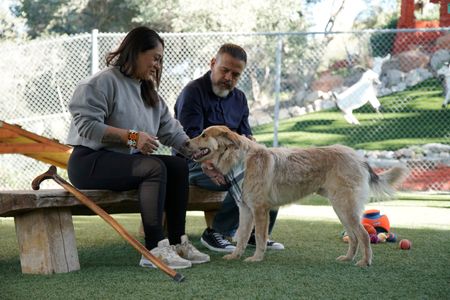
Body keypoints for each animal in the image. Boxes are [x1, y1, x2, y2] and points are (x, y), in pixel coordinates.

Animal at [186, 125, 408, 266]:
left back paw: (364, 262)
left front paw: (256, 258)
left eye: (204, 135)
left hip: (346, 209)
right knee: (354, 237)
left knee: (363, 236)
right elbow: (241, 236)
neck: (241, 160)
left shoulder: (259, 210)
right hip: (341, 210)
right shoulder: (245, 210)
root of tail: (359, 158)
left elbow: (259, 237)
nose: (186, 143)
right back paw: (347, 259)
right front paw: (235, 256)